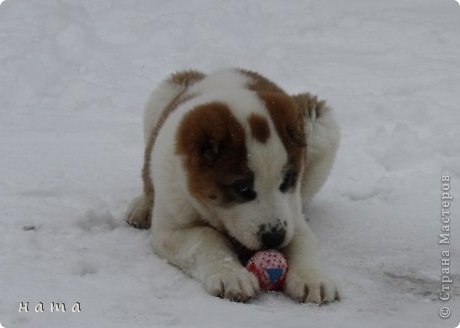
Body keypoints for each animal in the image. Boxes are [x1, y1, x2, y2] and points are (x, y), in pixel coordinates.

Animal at [126, 68, 342, 304]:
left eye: (287, 180)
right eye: (242, 188)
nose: (274, 238)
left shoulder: (292, 216)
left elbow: (303, 241)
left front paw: (312, 277)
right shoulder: (168, 230)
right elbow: (206, 237)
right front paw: (231, 275)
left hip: (321, 123)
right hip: (165, 91)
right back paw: (141, 207)